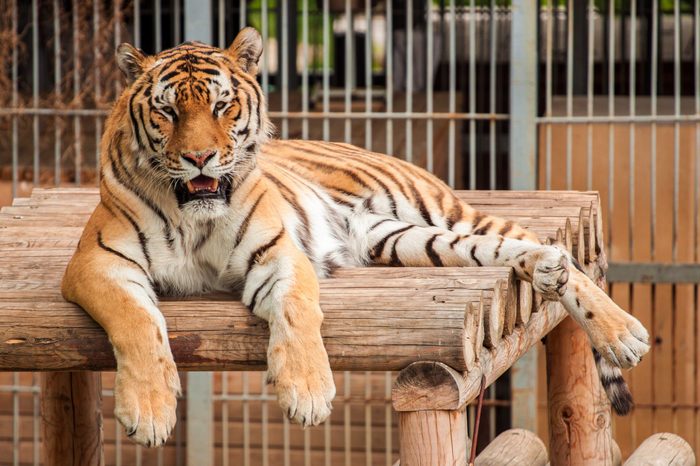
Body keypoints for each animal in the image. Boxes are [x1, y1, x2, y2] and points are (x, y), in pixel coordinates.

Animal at [61, 26, 652, 448]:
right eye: (167, 109)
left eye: (222, 105)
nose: (200, 157)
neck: (195, 214)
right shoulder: (98, 262)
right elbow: (137, 320)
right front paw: (149, 409)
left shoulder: (278, 252)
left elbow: (297, 311)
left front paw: (307, 393)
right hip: (408, 240)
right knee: (537, 255)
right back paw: (547, 270)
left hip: (447, 215)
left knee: (564, 258)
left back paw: (622, 333)